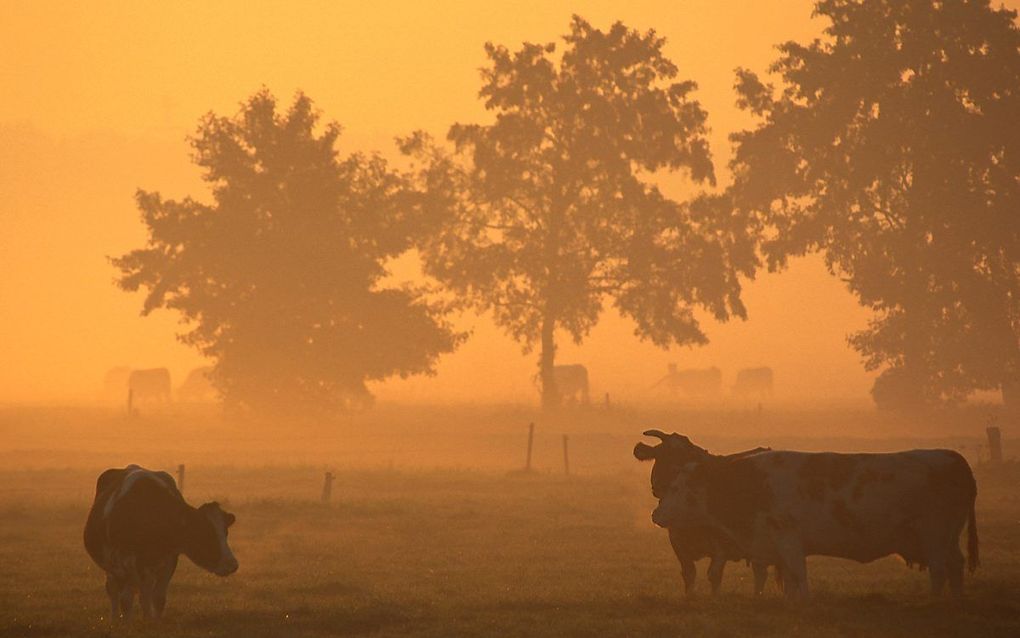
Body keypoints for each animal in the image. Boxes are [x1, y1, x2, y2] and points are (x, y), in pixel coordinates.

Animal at [83, 465, 238, 620]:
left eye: (226, 532)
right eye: (204, 533)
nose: (232, 564)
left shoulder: (169, 560)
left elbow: (158, 599)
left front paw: (153, 622)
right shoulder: (123, 563)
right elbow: (126, 600)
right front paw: (128, 622)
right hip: (113, 567)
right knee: (113, 590)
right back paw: (115, 618)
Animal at [632, 430, 775, 596]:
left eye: (686, 456)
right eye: (662, 454)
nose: (675, 472)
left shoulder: (721, 544)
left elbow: (714, 575)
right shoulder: (677, 541)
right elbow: (689, 573)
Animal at [652, 445, 979, 600]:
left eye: (677, 487)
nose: (657, 514)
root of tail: (954, 458)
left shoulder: (788, 539)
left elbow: (798, 575)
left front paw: (804, 603)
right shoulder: (772, 547)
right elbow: (788, 579)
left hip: (934, 533)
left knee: (939, 569)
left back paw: (935, 599)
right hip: (948, 535)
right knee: (955, 564)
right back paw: (955, 599)